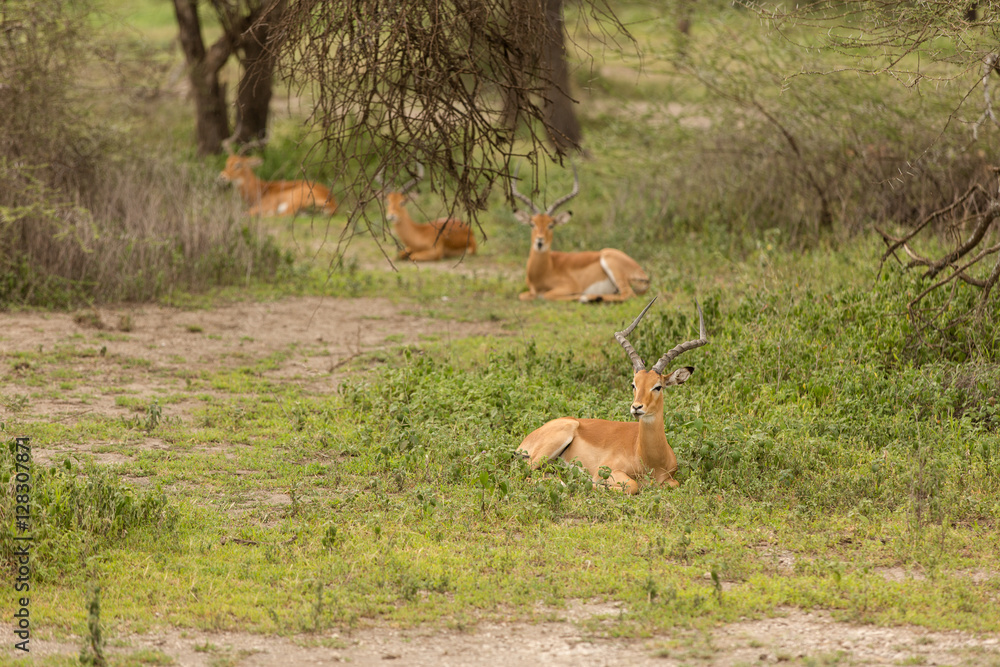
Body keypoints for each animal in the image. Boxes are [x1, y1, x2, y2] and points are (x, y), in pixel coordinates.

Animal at [511, 165, 650, 302]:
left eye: (551, 225)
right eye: (532, 224)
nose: (540, 241)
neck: (547, 269)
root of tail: (642, 274)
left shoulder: (568, 286)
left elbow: (547, 295)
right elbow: (522, 295)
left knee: (628, 294)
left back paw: (589, 297)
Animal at [519, 298, 707, 494]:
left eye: (658, 386)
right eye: (634, 384)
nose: (636, 407)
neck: (650, 461)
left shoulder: (671, 479)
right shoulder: (606, 471)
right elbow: (632, 485)